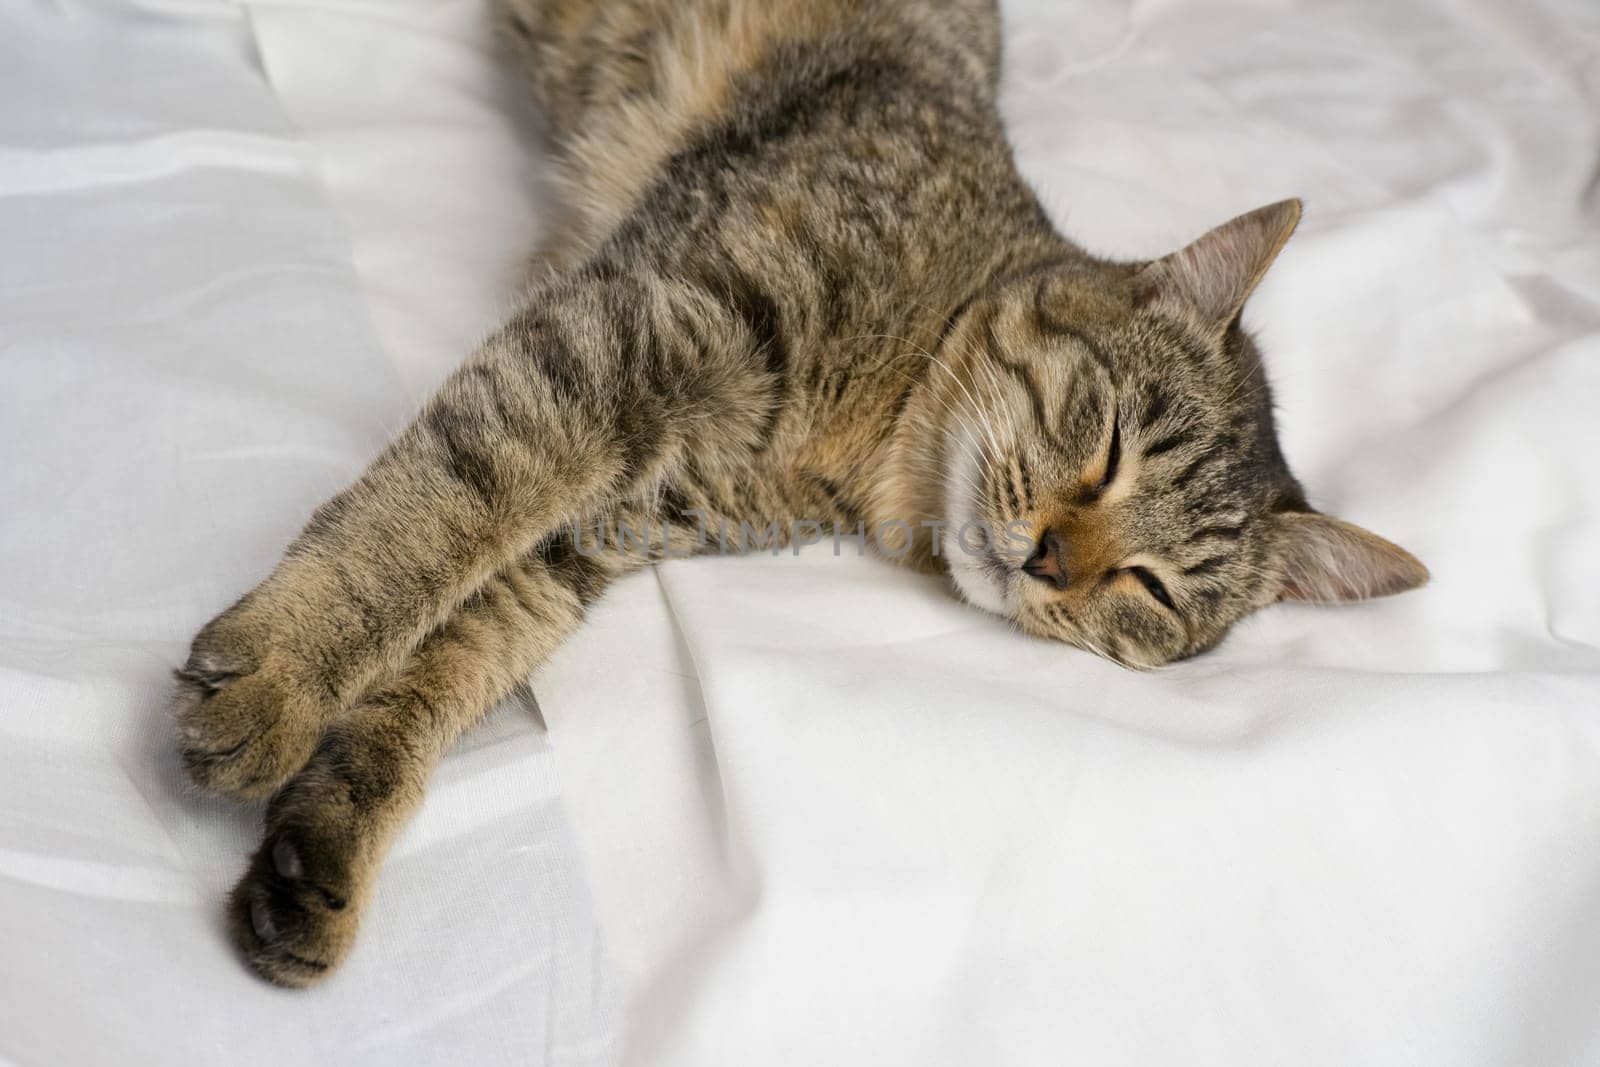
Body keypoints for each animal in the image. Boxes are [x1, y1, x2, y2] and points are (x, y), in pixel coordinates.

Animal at [175, 0, 1427, 991]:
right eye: (1110, 442)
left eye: (1151, 589)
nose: (1050, 559)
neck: (873, 428)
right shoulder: (628, 333)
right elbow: (435, 514)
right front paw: (285, 678)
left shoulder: (613, 515)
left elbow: (454, 648)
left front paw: (324, 837)